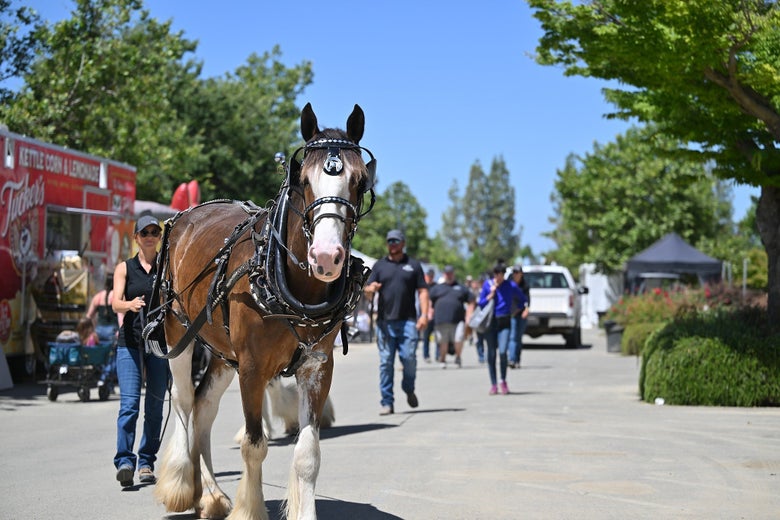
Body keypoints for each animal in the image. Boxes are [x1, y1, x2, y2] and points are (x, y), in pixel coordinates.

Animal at [147, 103, 375, 520]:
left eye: (360, 179)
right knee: (186, 406)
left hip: (222, 354)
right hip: (179, 333)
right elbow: (254, 446)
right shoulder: (252, 367)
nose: (326, 257)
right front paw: (249, 509)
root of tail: (183, 218)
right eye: (303, 179)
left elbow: (308, 455)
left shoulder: (317, 367)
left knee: (204, 409)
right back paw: (184, 486)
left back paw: (211, 495)